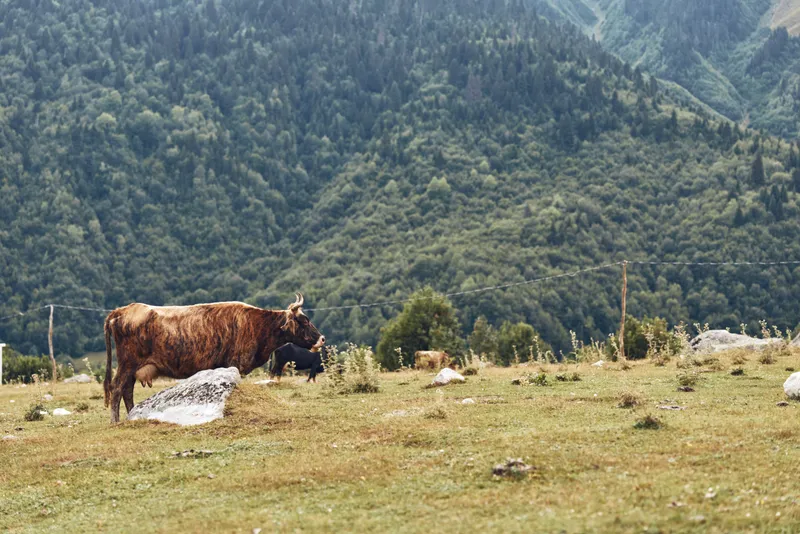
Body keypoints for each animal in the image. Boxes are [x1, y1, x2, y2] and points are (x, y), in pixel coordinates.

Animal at [103, 294, 324, 423]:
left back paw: (133, 415)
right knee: (117, 388)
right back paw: (116, 421)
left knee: (127, 391)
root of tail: (123, 310)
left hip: (132, 367)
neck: (257, 326)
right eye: (304, 320)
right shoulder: (235, 363)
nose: (322, 338)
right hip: (127, 363)